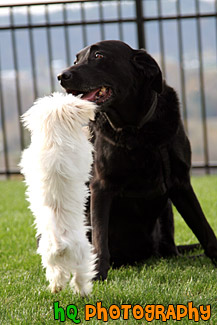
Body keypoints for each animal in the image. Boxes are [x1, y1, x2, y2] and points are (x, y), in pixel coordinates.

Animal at [19, 92, 97, 294]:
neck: (53, 138)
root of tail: (59, 243)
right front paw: (87, 132)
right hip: (82, 253)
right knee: (80, 276)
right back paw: (84, 293)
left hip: (48, 257)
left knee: (57, 275)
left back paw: (55, 288)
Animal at [57, 40, 217, 278]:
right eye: (77, 59)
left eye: (98, 55)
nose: (61, 76)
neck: (135, 129)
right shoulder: (101, 185)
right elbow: (100, 239)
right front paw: (98, 275)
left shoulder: (180, 183)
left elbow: (205, 230)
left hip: (166, 211)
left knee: (172, 251)